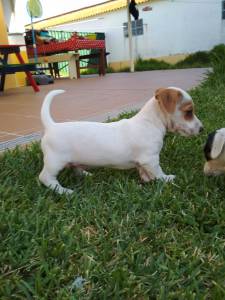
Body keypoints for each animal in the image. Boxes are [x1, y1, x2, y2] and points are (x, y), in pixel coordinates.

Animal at [39, 87, 204, 195]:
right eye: (189, 112)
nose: (202, 129)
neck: (150, 122)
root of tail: (51, 126)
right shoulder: (150, 159)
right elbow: (158, 171)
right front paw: (167, 178)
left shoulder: (144, 162)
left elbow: (145, 171)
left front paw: (146, 179)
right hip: (55, 162)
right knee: (45, 178)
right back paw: (64, 191)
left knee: (75, 168)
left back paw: (86, 175)